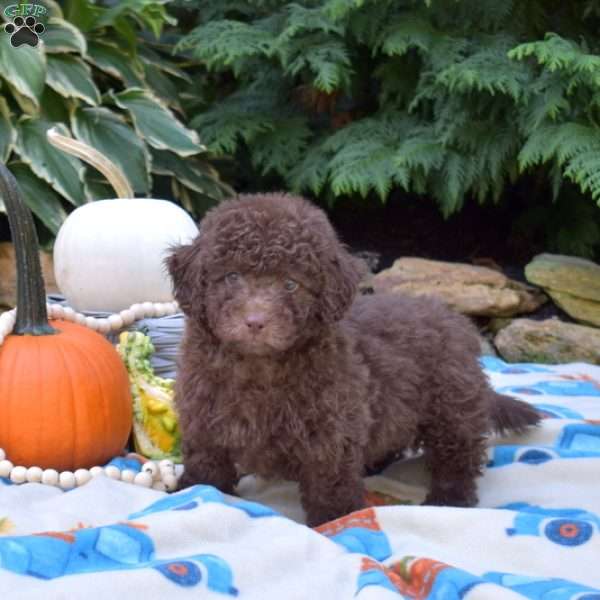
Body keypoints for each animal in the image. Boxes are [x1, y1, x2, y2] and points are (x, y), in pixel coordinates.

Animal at [166, 192, 540, 524]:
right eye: (231, 277)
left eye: (290, 284)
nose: (255, 322)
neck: (259, 368)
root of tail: (457, 321)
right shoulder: (203, 421)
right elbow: (207, 465)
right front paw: (194, 491)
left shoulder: (330, 431)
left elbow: (330, 485)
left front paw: (337, 521)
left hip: (451, 407)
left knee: (458, 457)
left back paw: (449, 499)